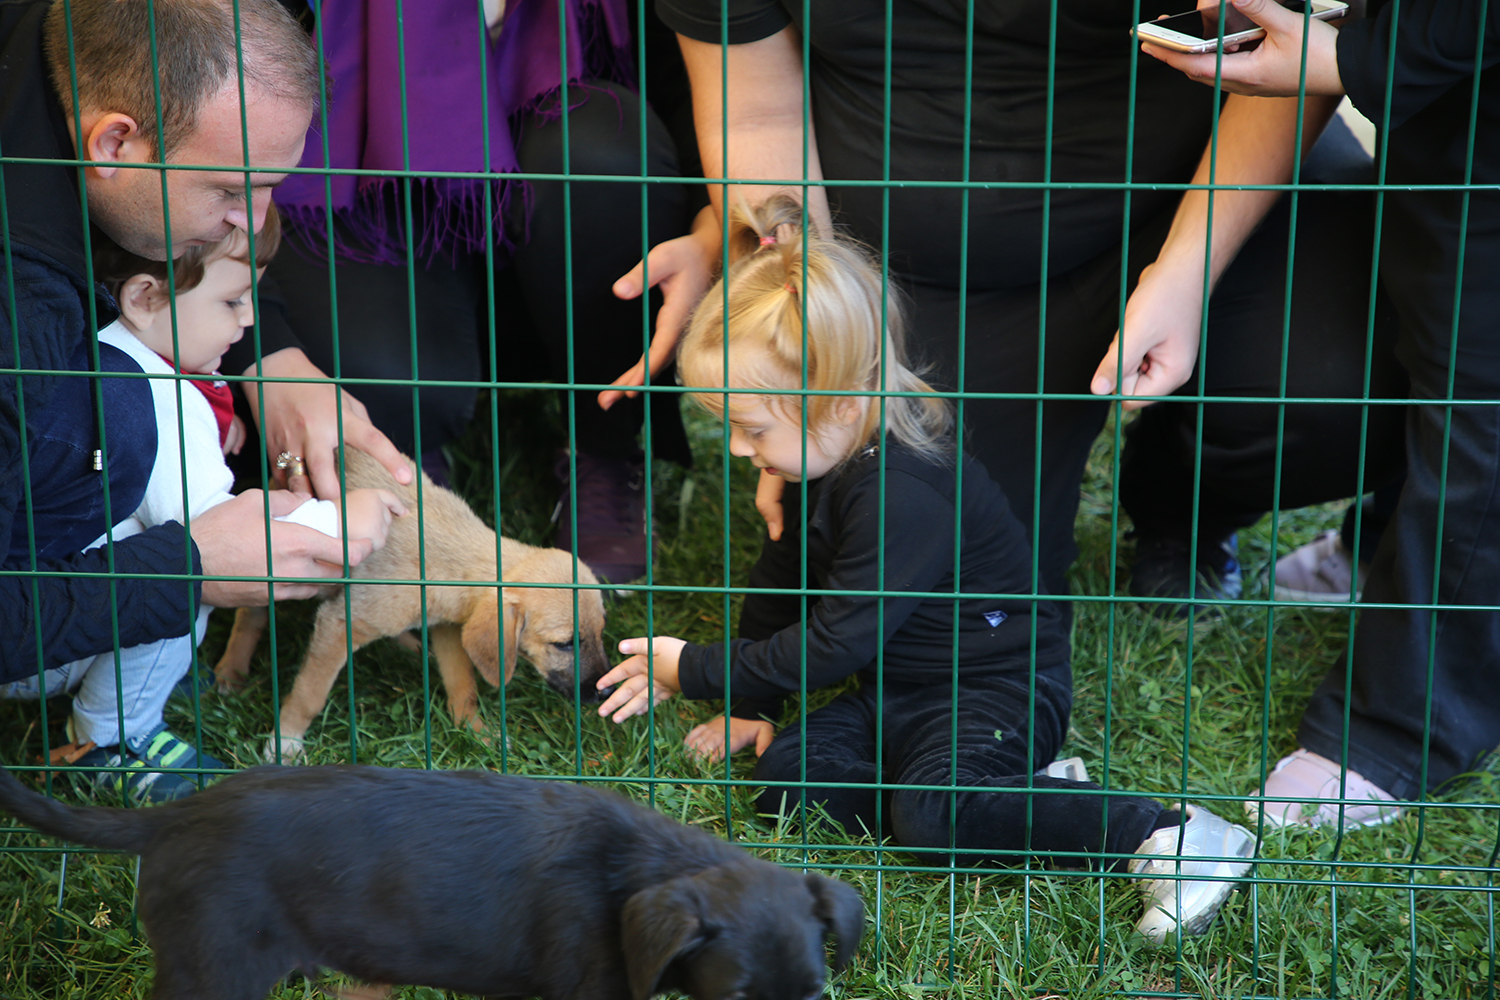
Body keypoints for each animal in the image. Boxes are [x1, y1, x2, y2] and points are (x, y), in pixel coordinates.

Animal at [213, 449, 609, 761]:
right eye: (564, 644)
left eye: (601, 632)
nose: (604, 690)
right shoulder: (341, 624)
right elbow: (310, 694)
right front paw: (286, 744)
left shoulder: (448, 627)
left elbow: (463, 686)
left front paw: (477, 733)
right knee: (250, 614)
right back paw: (231, 670)